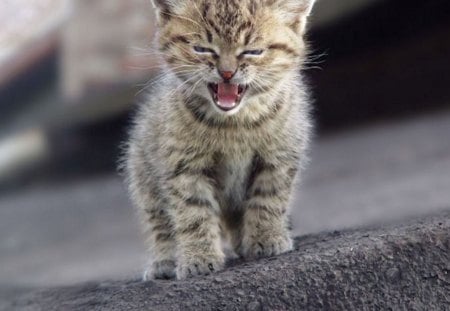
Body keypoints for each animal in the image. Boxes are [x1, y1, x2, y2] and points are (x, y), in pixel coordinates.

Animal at [125, 0, 316, 282]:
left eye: (253, 51)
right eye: (202, 48)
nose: (226, 73)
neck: (234, 123)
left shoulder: (280, 157)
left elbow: (269, 200)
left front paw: (266, 237)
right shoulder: (183, 166)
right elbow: (192, 213)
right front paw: (198, 257)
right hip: (143, 174)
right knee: (160, 224)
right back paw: (165, 261)